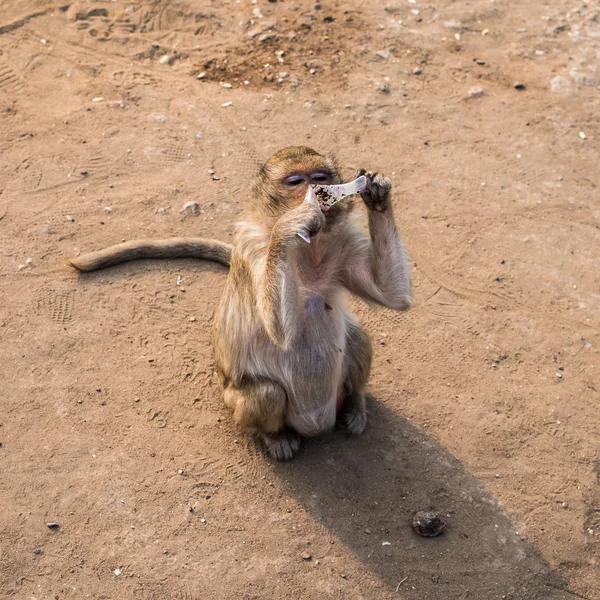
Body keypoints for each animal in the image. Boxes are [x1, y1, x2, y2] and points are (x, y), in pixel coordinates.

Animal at [68, 148, 410, 462]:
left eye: (320, 177)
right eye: (295, 181)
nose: (313, 190)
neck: (309, 248)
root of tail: (317, 426)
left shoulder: (343, 239)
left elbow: (393, 296)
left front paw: (377, 192)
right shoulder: (252, 247)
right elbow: (279, 331)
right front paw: (292, 223)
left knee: (357, 338)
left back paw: (355, 403)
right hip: (236, 401)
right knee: (265, 394)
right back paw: (273, 436)